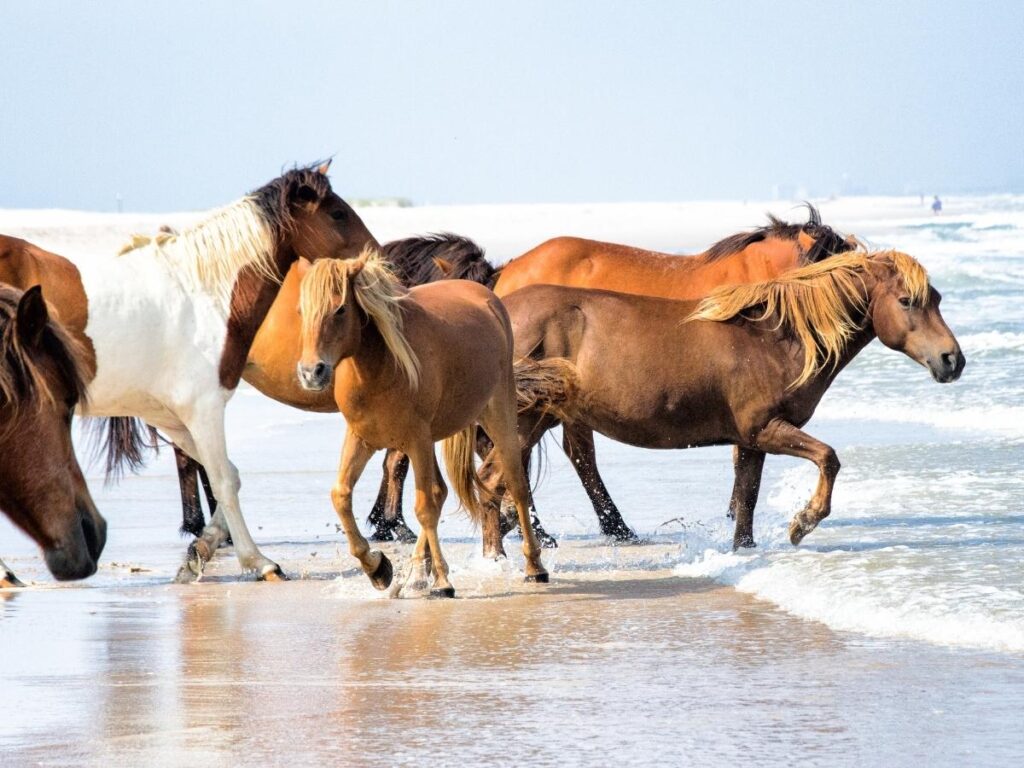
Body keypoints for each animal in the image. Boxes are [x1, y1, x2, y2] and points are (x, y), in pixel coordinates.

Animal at [295, 250, 548, 597]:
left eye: (340, 308)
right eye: (301, 311)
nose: (311, 372)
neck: (380, 368)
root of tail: (486, 297)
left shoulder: (416, 440)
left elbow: (425, 506)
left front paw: (441, 581)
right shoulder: (363, 438)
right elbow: (341, 496)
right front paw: (378, 568)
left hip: (499, 416)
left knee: (517, 486)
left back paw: (534, 567)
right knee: (441, 492)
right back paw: (415, 574)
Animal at [479, 249, 964, 556]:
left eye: (938, 299)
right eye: (907, 301)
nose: (952, 360)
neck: (774, 338)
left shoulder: (751, 440)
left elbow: (746, 499)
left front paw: (744, 550)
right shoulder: (766, 429)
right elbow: (828, 458)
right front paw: (802, 523)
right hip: (527, 423)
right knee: (493, 483)